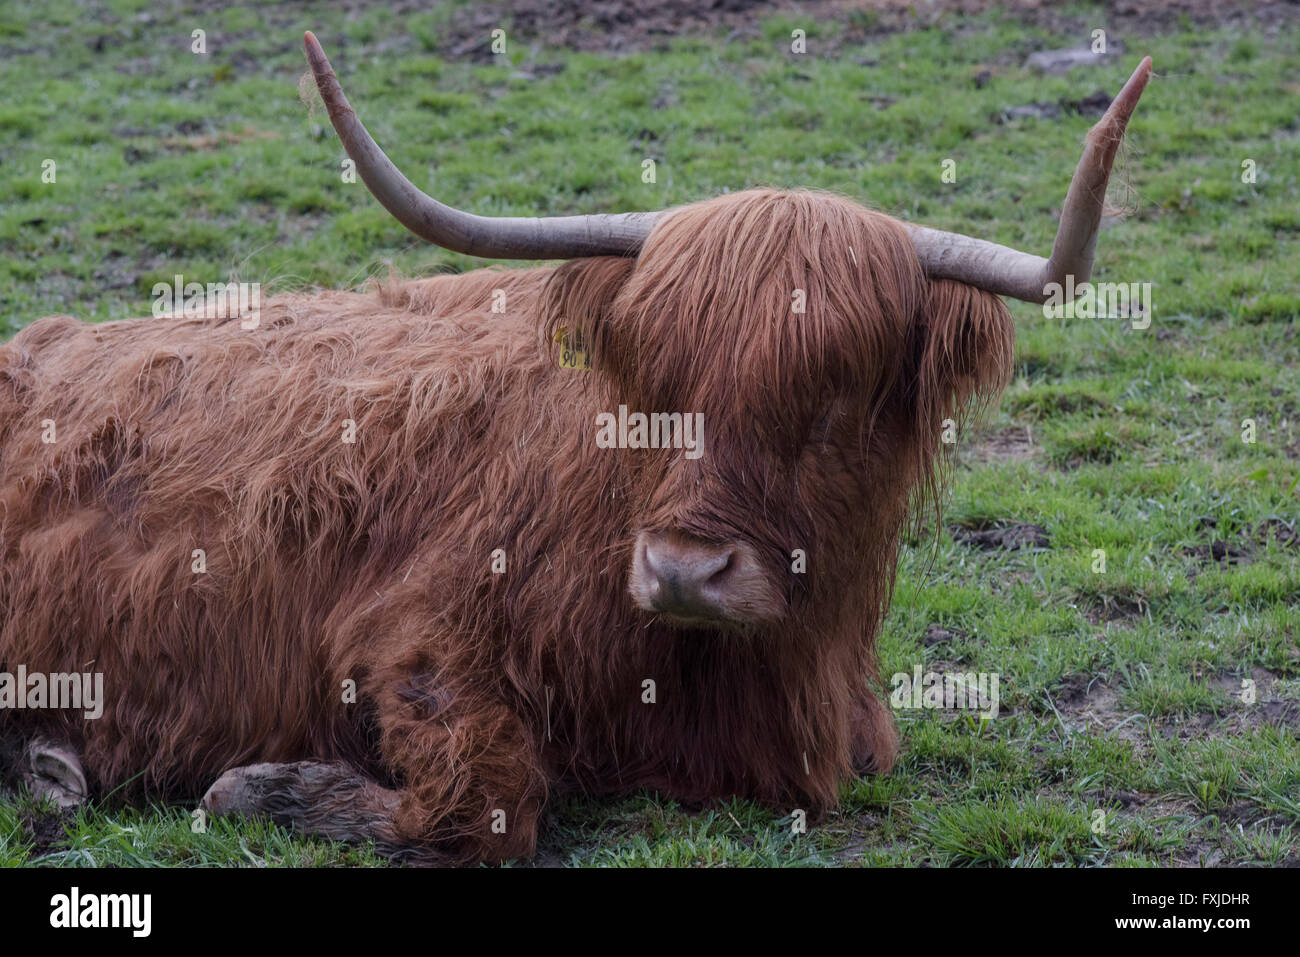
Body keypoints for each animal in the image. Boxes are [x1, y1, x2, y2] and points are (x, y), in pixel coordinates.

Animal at [0, 34, 1151, 863]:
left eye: (832, 401)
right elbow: (489, 803)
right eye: (653, 391)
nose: (684, 570)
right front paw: (262, 786)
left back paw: (53, 763)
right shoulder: (409, 636)